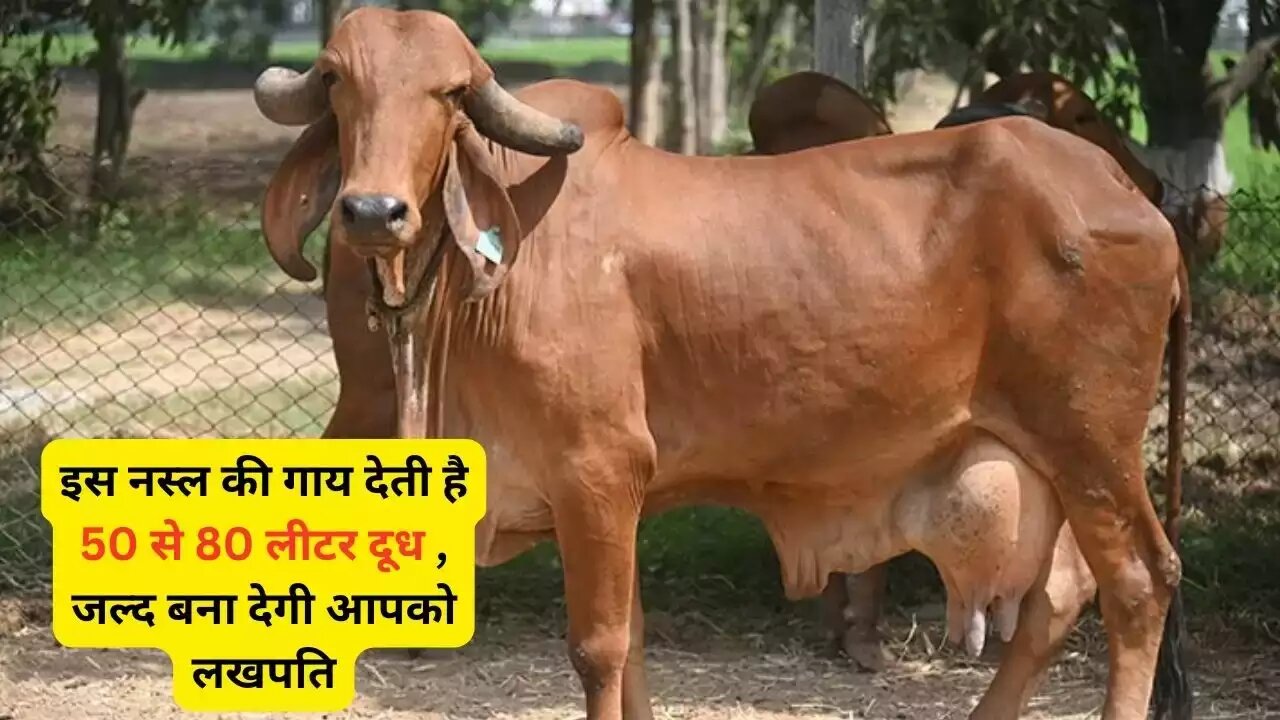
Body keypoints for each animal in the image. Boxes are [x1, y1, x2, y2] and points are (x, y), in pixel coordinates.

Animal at [252, 9, 1190, 720]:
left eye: (449, 94)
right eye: (336, 81)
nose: (373, 210)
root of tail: (1130, 192)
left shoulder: (596, 469)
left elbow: (598, 648)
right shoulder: (604, 494)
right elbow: (631, 643)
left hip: (1093, 444)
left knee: (1139, 582)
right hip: (1046, 460)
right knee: (1059, 596)